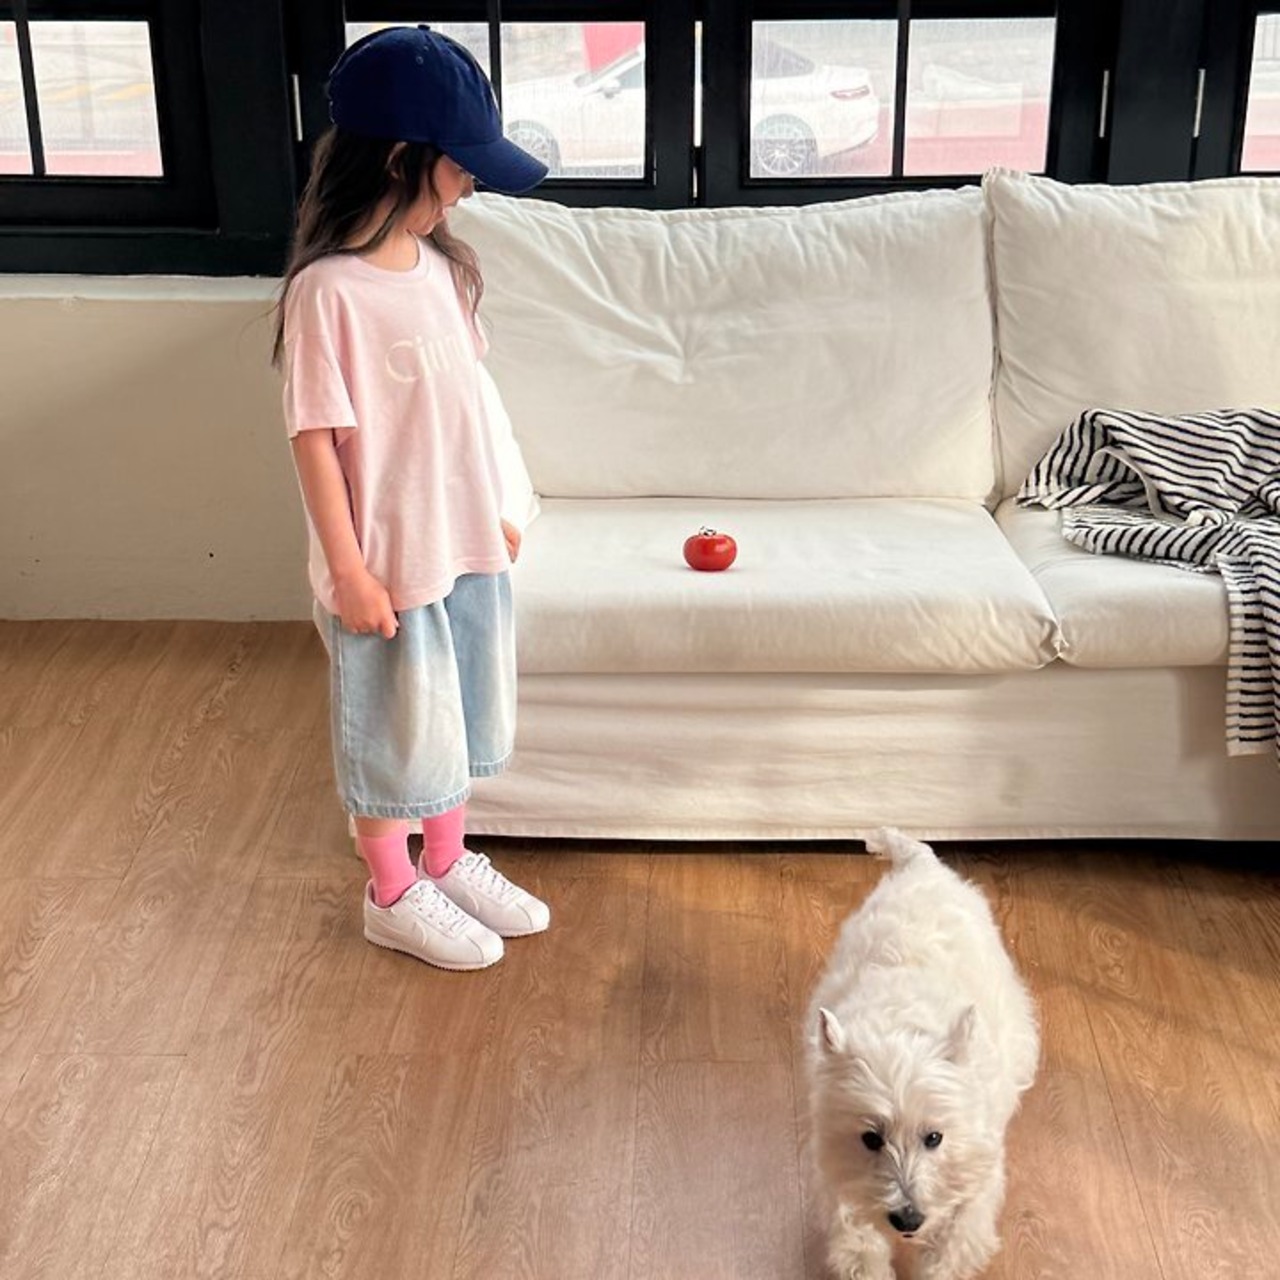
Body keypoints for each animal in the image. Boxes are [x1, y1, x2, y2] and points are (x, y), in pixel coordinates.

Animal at [804, 829, 1039, 1280]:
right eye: (870, 1138)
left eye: (934, 1137)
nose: (907, 1219)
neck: (903, 1032)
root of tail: (921, 865)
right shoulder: (840, 1169)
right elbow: (857, 1238)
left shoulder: (978, 1169)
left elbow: (954, 1242)